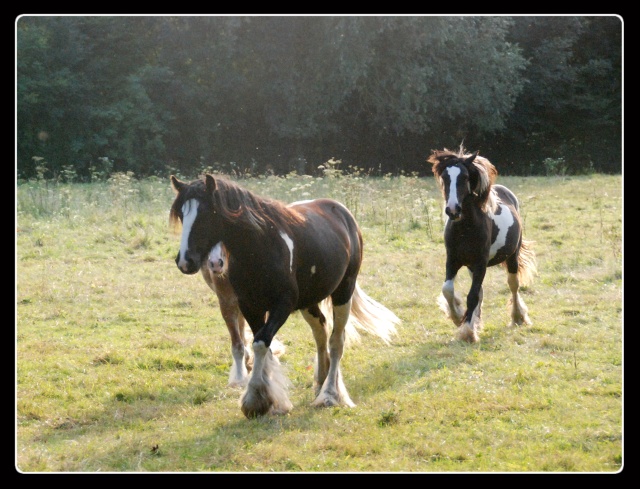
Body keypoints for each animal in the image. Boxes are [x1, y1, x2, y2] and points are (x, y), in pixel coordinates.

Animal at [170, 174, 400, 416]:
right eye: (181, 214)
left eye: (207, 213)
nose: (185, 261)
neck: (259, 247)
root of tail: (342, 212)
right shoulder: (250, 306)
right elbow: (263, 345)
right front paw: (269, 400)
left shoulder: (283, 305)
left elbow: (261, 343)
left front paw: (254, 399)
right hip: (308, 302)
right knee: (320, 331)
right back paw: (320, 381)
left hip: (343, 292)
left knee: (336, 341)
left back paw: (329, 394)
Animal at [428, 147, 536, 342]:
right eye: (445, 177)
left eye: (464, 177)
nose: (453, 210)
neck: (466, 228)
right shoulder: (453, 260)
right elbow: (448, 290)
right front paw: (458, 316)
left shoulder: (480, 263)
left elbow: (472, 295)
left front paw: (468, 332)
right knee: (481, 292)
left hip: (512, 258)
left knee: (513, 285)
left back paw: (518, 317)